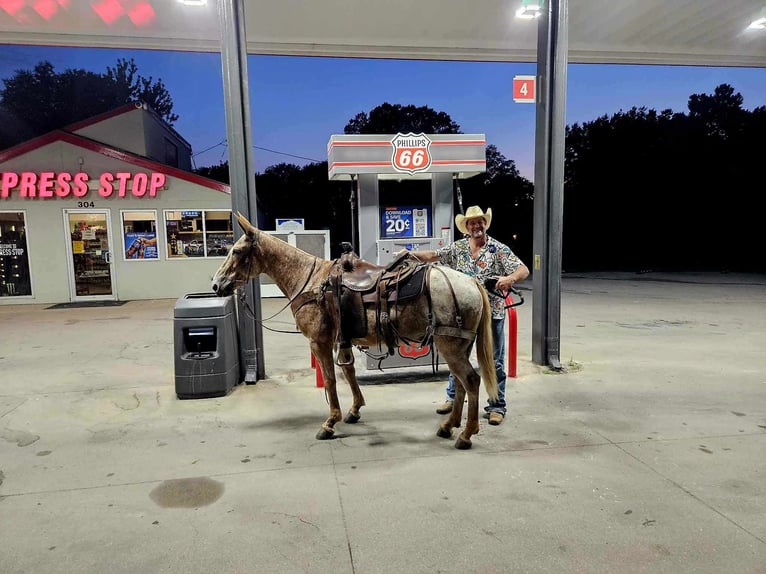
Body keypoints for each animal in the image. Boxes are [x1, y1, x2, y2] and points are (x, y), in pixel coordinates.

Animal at [212, 214, 498, 452]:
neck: (310, 281)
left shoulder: (319, 342)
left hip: (450, 345)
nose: (216, 284)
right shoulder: (341, 340)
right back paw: (448, 426)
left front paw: (330, 422)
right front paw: (354, 410)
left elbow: (330, 380)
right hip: (457, 346)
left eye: (237, 251)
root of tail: (472, 281)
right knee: (459, 383)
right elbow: (348, 373)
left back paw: (466, 435)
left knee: (470, 381)